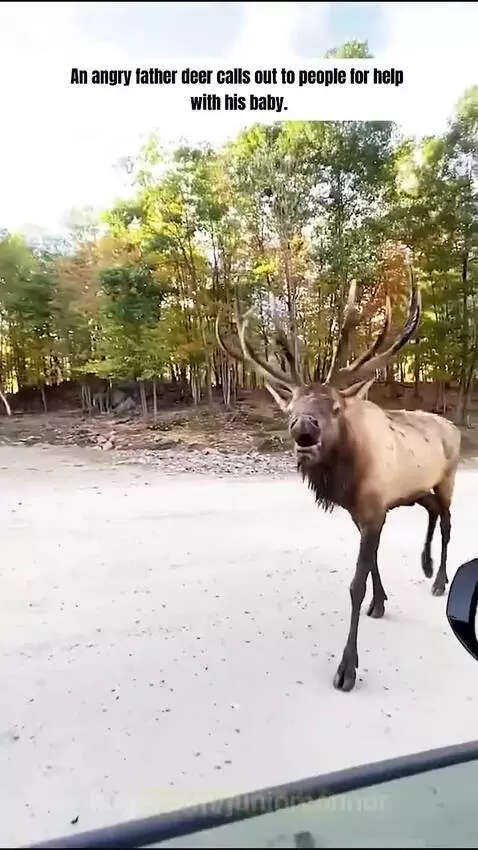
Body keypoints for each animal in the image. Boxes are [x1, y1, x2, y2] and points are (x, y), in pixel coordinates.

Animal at [216, 259, 461, 692]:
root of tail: (458, 429)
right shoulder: (363, 511)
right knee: (433, 513)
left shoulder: (374, 509)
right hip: (417, 489)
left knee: (448, 520)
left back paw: (439, 580)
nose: (302, 427)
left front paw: (348, 666)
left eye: (333, 407)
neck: (347, 477)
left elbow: (355, 583)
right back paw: (427, 565)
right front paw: (380, 602)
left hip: (447, 477)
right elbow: (373, 563)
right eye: (290, 406)